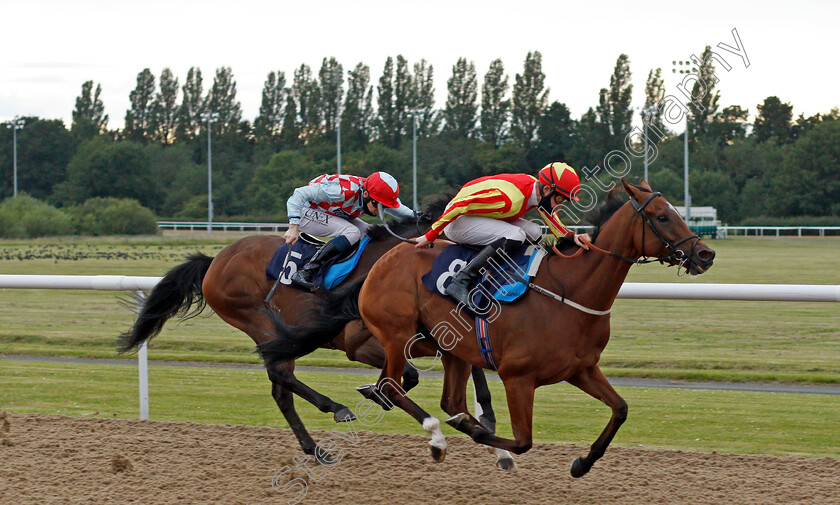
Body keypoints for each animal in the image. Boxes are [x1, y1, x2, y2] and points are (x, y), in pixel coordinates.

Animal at [114, 193, 502, 464]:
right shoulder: (359, 342)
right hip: (261, 322)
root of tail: (215, 261)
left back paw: (315, 448)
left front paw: (486, 414)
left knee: (281, 391)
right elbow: (407, 376)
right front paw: (379, 395)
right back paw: (335, 408)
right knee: (280, 375)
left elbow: (458, 362)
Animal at [258, 179, 716, 474]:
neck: (569, 290)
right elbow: (522, 440)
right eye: (662, 216)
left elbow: (620, 409)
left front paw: (582, 463)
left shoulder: (581, 369)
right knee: (391, 385)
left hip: (451, 349)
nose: (705, 254)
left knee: (444, 398)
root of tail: (381, 262)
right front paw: (482, 438)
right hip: (397, 334)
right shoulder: (519, 377)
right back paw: (435, 437)